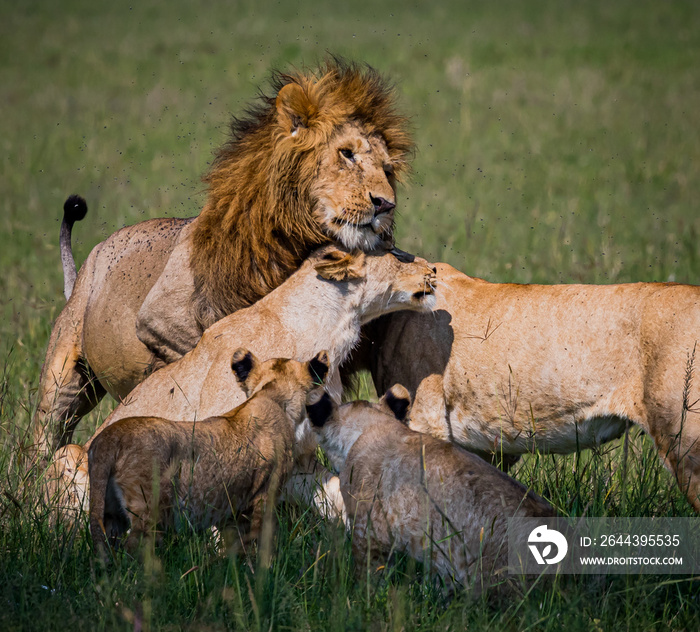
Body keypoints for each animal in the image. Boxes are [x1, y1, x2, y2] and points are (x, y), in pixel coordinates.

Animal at [32, 59, 412, 456]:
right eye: (347, 153)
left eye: (387, 169)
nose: (385, 204)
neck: (296, 246)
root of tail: (90, 260)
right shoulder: (160, 320)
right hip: (63, 376)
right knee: (48, 429)